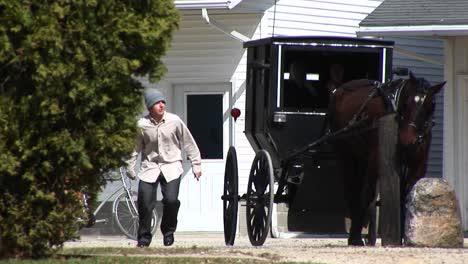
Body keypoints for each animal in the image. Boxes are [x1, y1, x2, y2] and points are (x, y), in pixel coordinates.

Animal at [328, 72, 444, 245]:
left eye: (431, 105)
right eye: (407, 102)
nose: (408, 139)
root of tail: (339, 90)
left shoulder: (418, 164)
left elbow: (408, 194)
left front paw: (405, 236)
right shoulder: (375, 158)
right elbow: (367, 194)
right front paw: (355, 237)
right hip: (346, 155)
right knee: (352, 190)